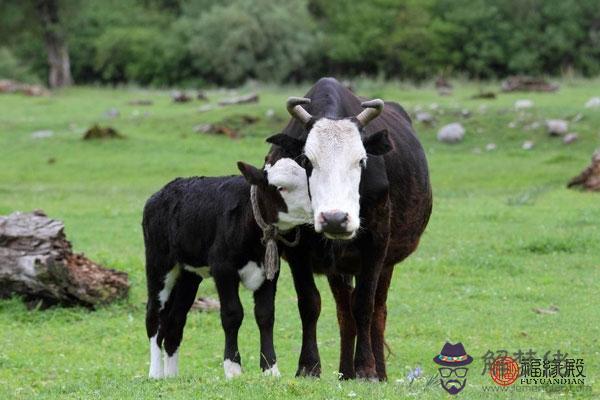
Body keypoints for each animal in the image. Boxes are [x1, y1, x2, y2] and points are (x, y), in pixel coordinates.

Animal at [144, 158, 314, 380]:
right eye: (280, 188)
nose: (317, 208)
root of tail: (163, 192)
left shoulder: (270, 272)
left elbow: (266, 315)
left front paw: (270, 368)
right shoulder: (223, 268)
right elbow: (232, 314)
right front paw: (233, 368)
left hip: (188, 275)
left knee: (175, 321)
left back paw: (172, 376)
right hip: (159, 264)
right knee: (154, 315)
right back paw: (156, 373)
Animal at [264, 76, 432, 380]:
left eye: (362, 160)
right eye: (306, 161)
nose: (335, 219)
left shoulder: (376, 245)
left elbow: (364, 304)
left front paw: (366, 368)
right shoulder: (297, 250)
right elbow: (310, 303)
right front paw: (308, 366)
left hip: (386, 262)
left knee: (378, 311)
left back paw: (379, 372)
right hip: (339, 267)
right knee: (344, 312)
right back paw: (345, 371)